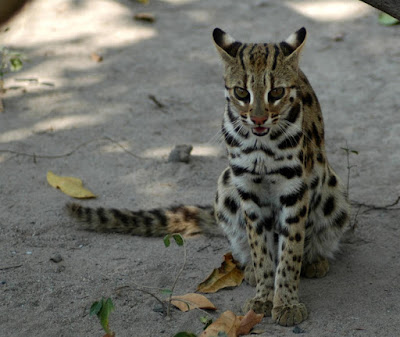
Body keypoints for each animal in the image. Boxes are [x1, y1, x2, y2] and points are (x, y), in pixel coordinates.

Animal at [64, 27, 348, 326]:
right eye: (241, 92)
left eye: (277, 92)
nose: (258, 119)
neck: (261, 144)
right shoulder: (246, 186)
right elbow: (260, 249)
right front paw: (263, 296)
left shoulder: (294, 187)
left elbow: (290, 250)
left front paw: (287, 302)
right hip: (225, 185)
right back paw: (251, 271)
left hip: (333, 189)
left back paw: (314, 261)